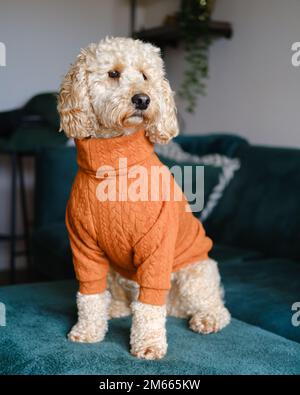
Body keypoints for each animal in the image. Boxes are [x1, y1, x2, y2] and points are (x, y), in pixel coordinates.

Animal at [57, 37, 231, 362]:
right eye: (113, 73)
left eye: (146, 76)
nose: (142, 99)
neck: (115, 166)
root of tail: (176, 309)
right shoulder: (83, 245)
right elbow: (89, 294)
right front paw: (88, 331)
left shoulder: (157, 244)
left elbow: (149, 307)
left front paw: (148, 344)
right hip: (116, 272)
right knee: (121, 298)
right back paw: (114, 308)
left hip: (195, 273)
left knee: (215, 306)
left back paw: (207, 318)